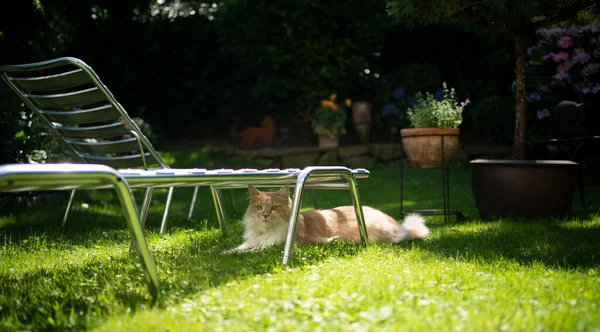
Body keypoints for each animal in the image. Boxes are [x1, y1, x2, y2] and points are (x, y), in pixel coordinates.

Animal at [223, 184, 428, 254]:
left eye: (274, 207)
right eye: (259, 207)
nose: (265, 215)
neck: (265, 231)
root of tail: (401, 227)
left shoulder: (271, 245)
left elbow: (250, 251)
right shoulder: (251, 241)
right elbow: (237, 249)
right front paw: (225, 252)